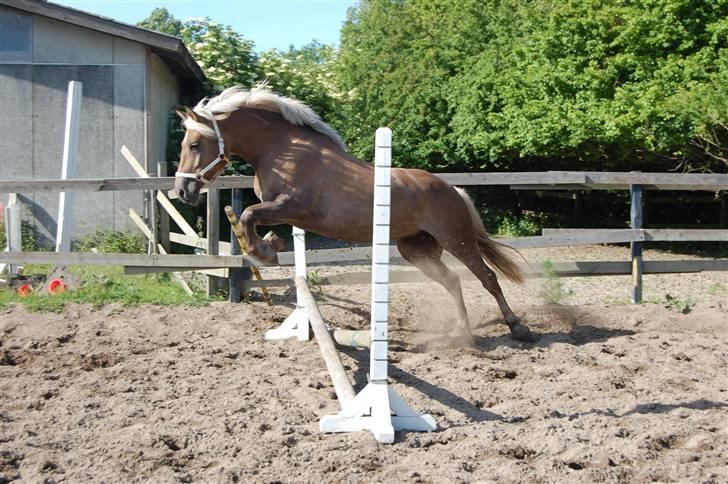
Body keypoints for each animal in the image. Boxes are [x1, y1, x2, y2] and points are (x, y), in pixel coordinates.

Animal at [173, 85, 532, 342]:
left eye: (194, 145)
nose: (182, 191)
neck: (281, 149)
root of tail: (452, 190)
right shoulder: (287, 213)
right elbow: (252, 219)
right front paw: (271, 244)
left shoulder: (293, 206)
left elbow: (248, 214)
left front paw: (266, 251)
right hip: (416, 249)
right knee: (453, 280)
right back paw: (461, 331)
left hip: (456, 239)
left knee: (487, 278)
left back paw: (518, 328)